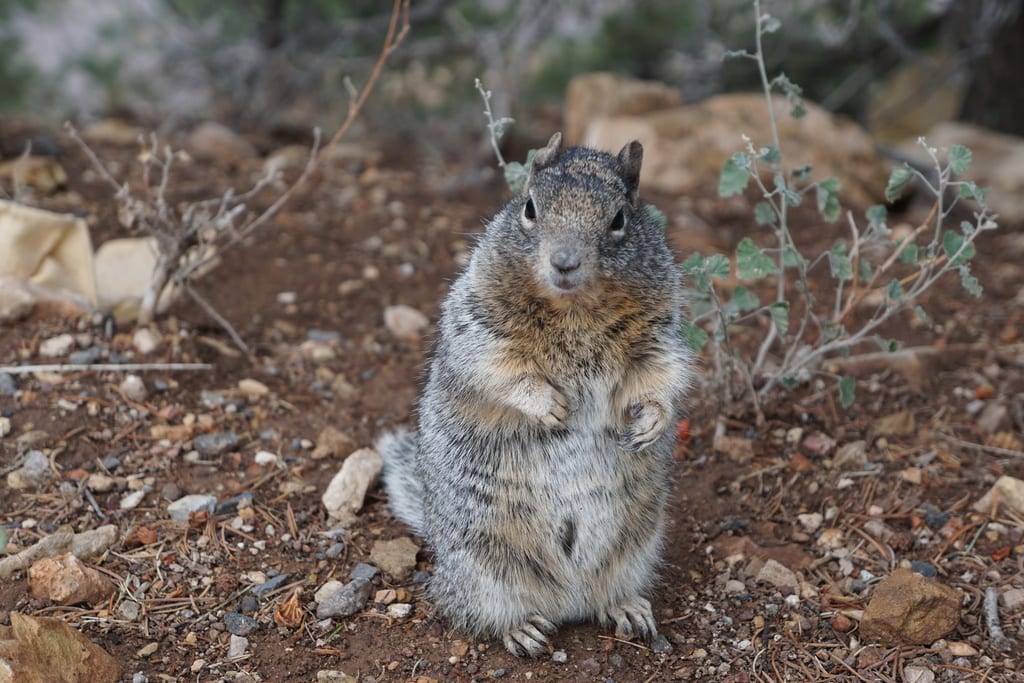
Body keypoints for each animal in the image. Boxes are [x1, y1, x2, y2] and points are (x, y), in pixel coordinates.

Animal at [376, 132, 693, 657]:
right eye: (529, 208)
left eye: (619, 219)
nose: (563, 263)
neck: (575, 306)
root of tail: (568, 601)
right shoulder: (478, 324)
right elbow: (497, 369)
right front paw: (550, 406)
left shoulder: (660, 332)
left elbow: (661, 374)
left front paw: (651, 421)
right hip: (482, 568)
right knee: (472, 612)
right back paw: (522, 629)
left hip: (636, 551)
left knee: (606, 595)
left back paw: (626, 608)